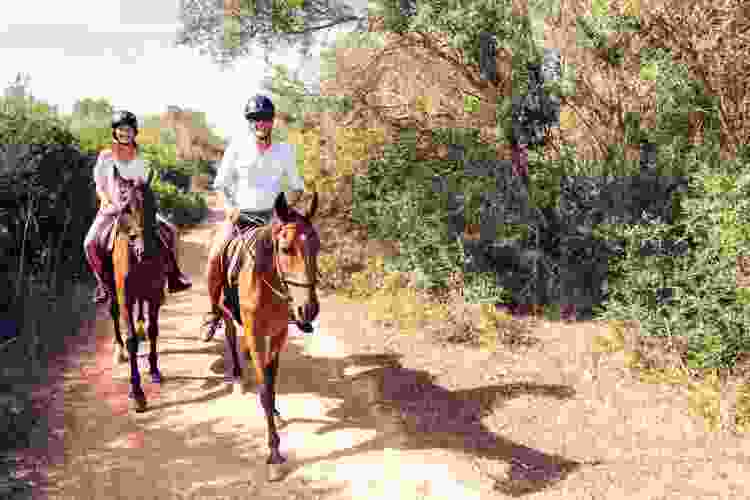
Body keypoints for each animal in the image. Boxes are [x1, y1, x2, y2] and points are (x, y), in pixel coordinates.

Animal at [219, 190, 322, 480]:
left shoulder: (278, 333)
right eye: (286, 249)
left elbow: (271, 378)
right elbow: (264, 388)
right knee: (230, 335)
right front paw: (274, 453)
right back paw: (237, 376)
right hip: (224, 310)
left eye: (318, 247)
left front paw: (275, 412)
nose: (308, 309)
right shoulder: (256, 334)